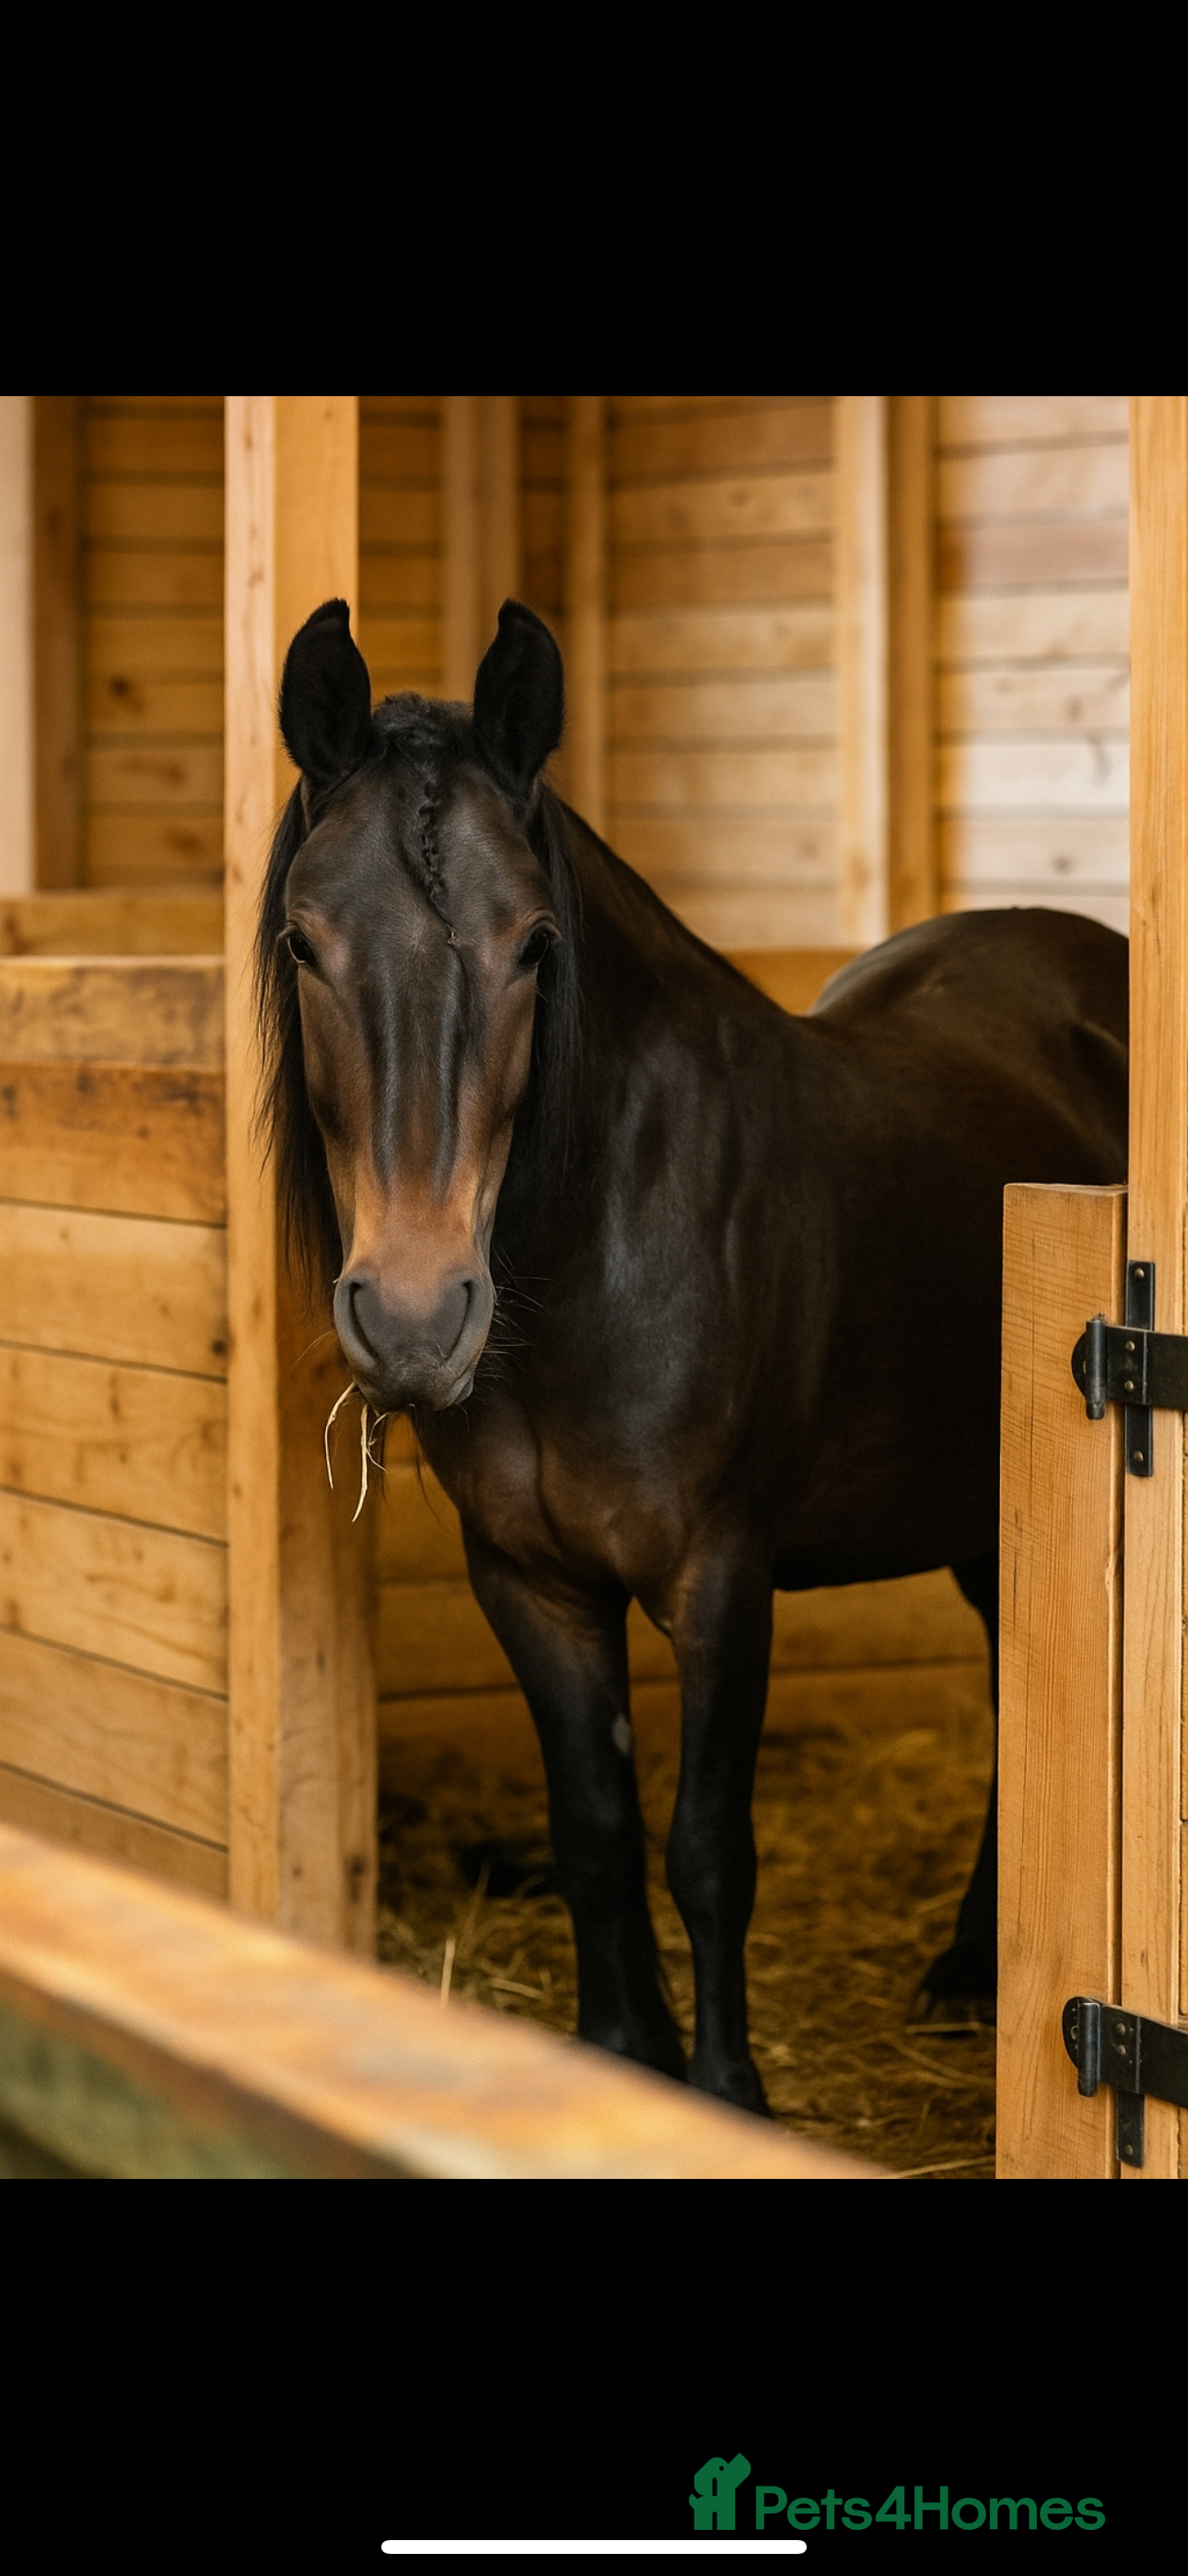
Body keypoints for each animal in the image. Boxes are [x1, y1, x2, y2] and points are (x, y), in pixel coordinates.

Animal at [257, 594, 1129, 2114]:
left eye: (534, 944)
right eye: (307, 943)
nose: (418, 1318)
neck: (598, 1252)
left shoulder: (723, 1580)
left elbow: (706, 1847)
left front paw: (726, 2092)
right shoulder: (531, 1585)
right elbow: (596, 1826)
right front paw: (623, 2057)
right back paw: (969, 1968)